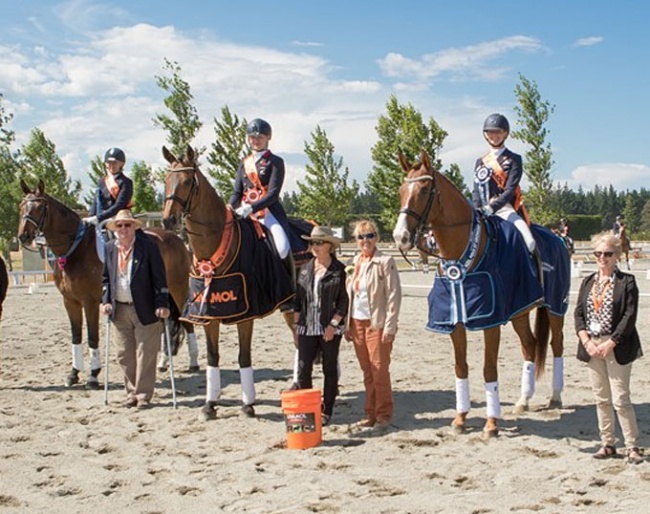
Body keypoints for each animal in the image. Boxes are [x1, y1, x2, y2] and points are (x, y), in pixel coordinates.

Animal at [17, 178, 195, 386]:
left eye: (39, 207)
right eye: (21, 206)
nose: (24, 236)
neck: (76, 248)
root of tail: (176, 238)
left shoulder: (91, 302)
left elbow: (92, 337)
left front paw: (93, 375)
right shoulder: (70, 301)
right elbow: (76, 336)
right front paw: (73, 374)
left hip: (178, 290)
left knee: (186, 322)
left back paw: (193, 362)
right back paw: (162, 363)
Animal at [161, 142, 294, 418]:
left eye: (188, 181)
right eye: (166, 180)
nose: (168, 220)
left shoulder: (246, 313)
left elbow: (244, 357)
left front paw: (248, 404)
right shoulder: (208, 313)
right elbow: (213, 357)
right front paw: (209, 404)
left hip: (294, 305)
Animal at [390, 150, 568, 434]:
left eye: (425, 189)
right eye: (401, 190)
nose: (401, 237)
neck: (462, 251)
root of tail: (557, 238)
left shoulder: (490, 320)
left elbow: (489, 369)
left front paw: (491, 424)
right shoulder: (455, 320)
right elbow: (461, 367)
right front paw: (460, 418)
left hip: (555, 307)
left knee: (557, 344)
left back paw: (555, 397)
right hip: (520, 309)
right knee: (529, 346)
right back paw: (523, 400)